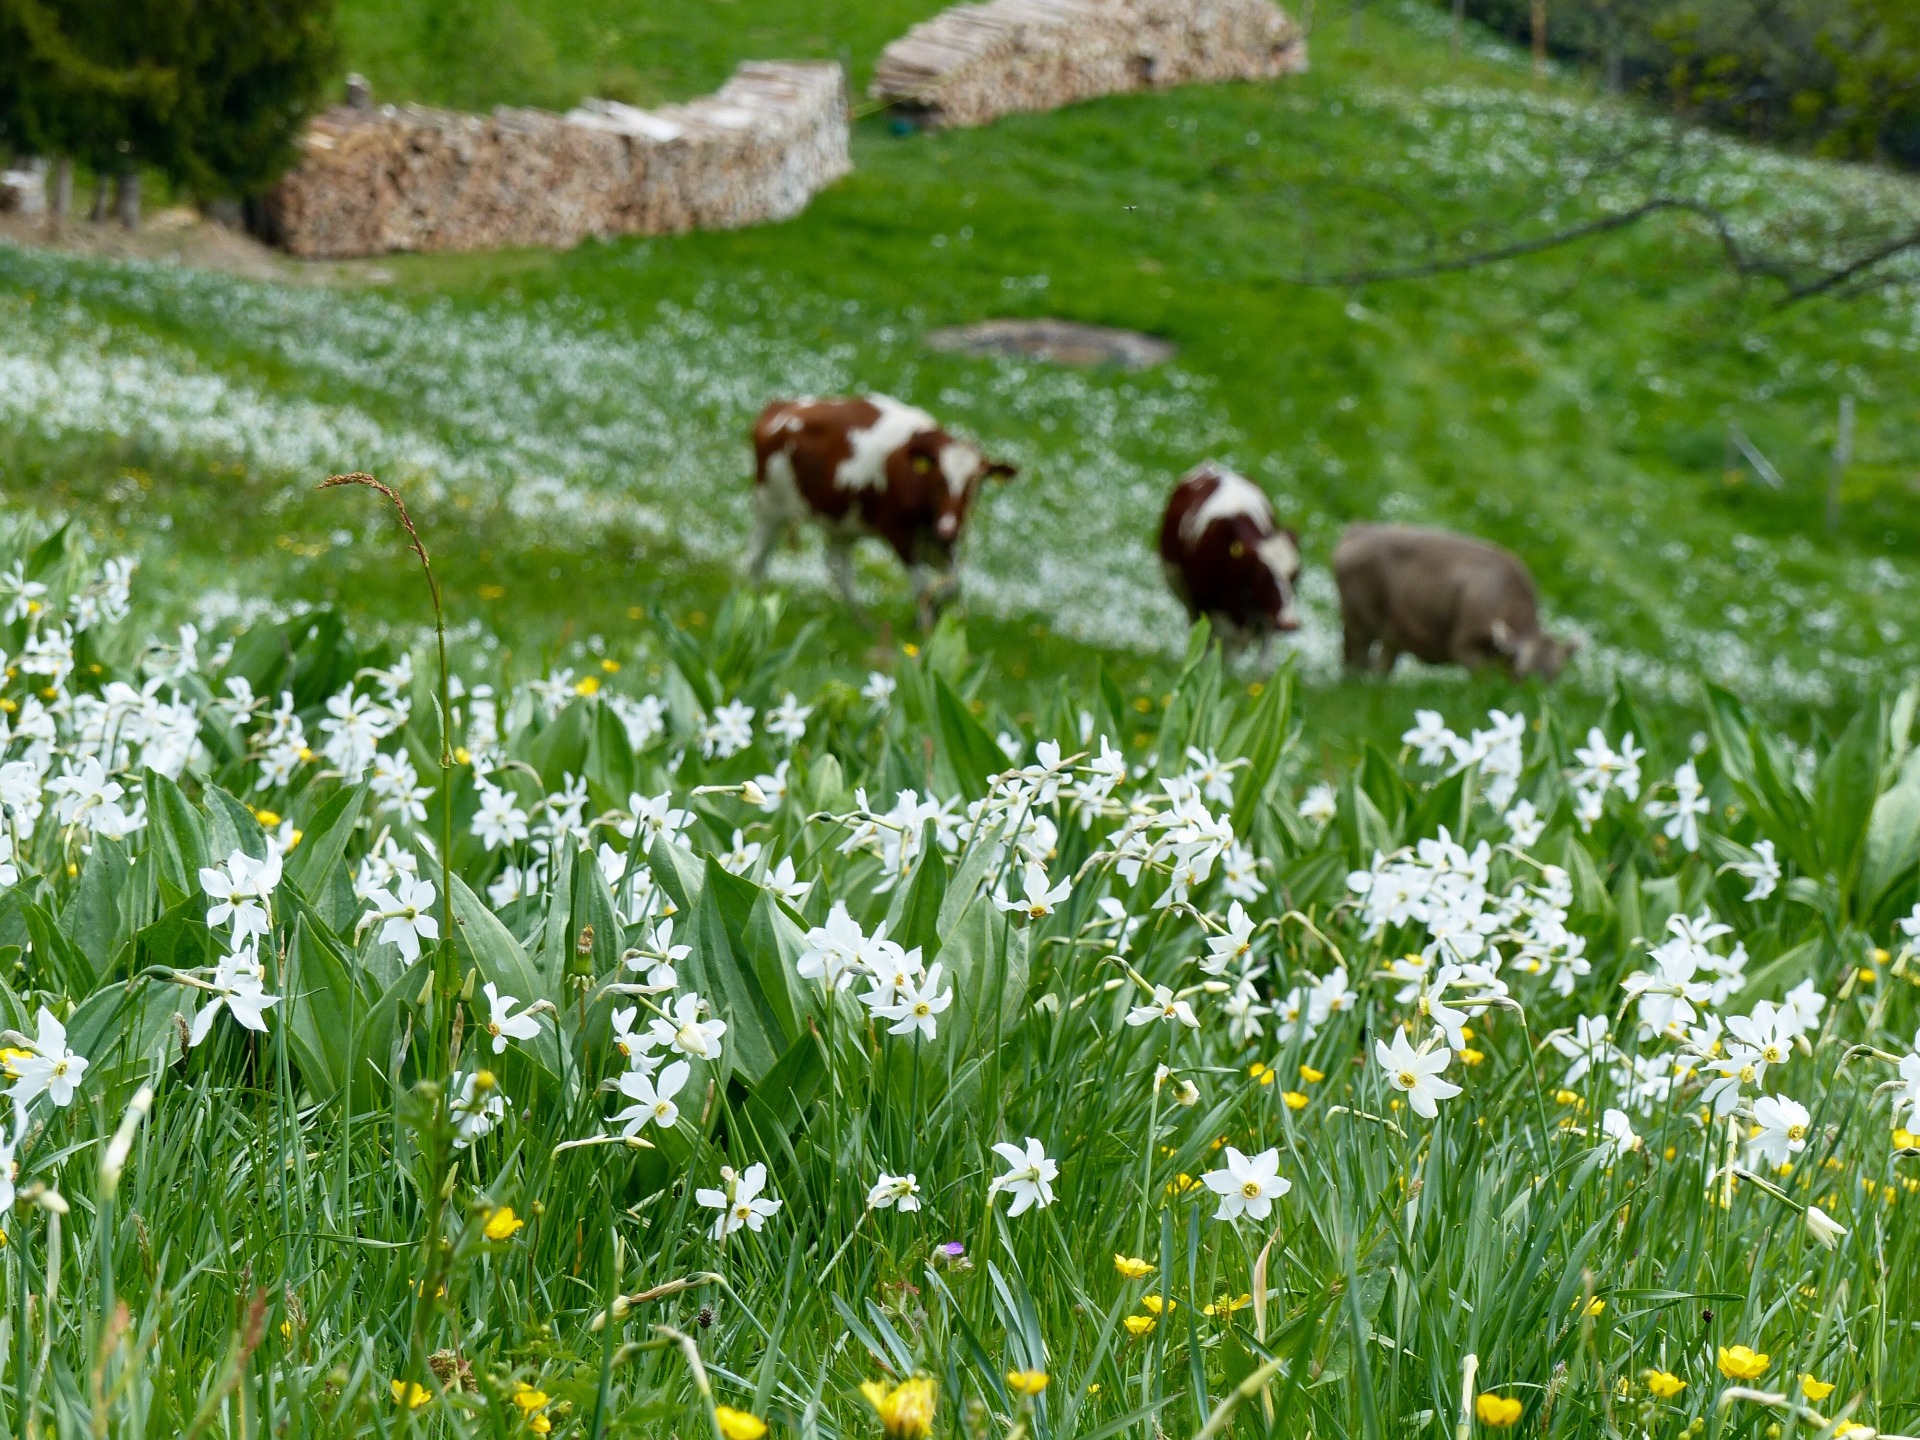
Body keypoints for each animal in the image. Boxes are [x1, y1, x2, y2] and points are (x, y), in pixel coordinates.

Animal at [744, 395, 1021, 625]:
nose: (949, 528)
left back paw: (861, 623)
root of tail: (780, 405)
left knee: (838, 570)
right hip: (770, 507)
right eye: (939, 479)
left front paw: (934, 616)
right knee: (757, 558)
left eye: (975, 485)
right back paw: (756, 603)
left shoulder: (940, 543)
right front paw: (925, 629)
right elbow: (922, 587)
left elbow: (952, 585)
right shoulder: (900, 534)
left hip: (842, 524)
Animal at [1336, 526, 1574, 683]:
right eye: (1522, 673)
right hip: (1357, 624)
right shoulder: (1463, 644)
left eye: (1555, 675)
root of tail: (1359, 530)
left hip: (1392, 634)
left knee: (1380, 667)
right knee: (1354, 659)